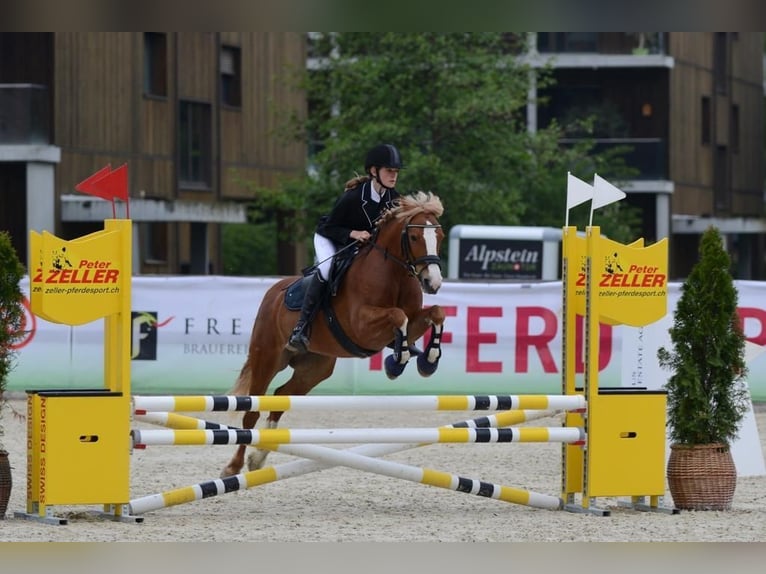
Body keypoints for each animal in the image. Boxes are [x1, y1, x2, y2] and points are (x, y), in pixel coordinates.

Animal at [220, 191, 450, 480]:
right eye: (415, 237)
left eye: (439, 235)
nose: (433, 282)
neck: (393, 274)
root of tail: (273, 292)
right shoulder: (362, 326)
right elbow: (398, 316)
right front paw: (396, 363)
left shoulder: (412, 322)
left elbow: (435, 313)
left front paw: (427, 360)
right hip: (268, 358)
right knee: (251, 412)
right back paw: (233, 467)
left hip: (315, 368)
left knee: (282, 396)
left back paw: (259, 456)